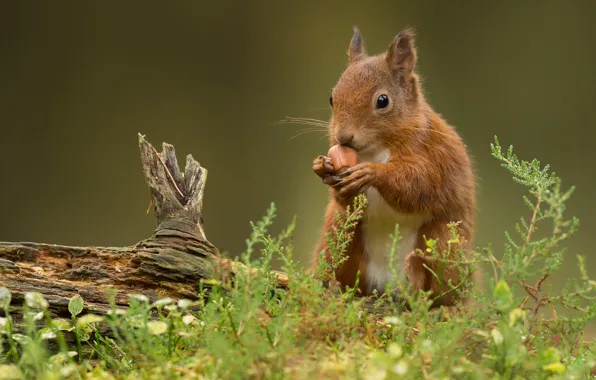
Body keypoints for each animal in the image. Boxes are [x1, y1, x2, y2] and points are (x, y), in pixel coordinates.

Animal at [312, 26, 474, 308]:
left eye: (382, 100)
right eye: (332, 98)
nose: (343, 137)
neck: (374, 149)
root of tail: (387, 287)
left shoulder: (434, 157)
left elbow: (418, 185)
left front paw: (372, 173)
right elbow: (347, 199)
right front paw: (323, 168)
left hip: (443, 241)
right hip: (337, 233)